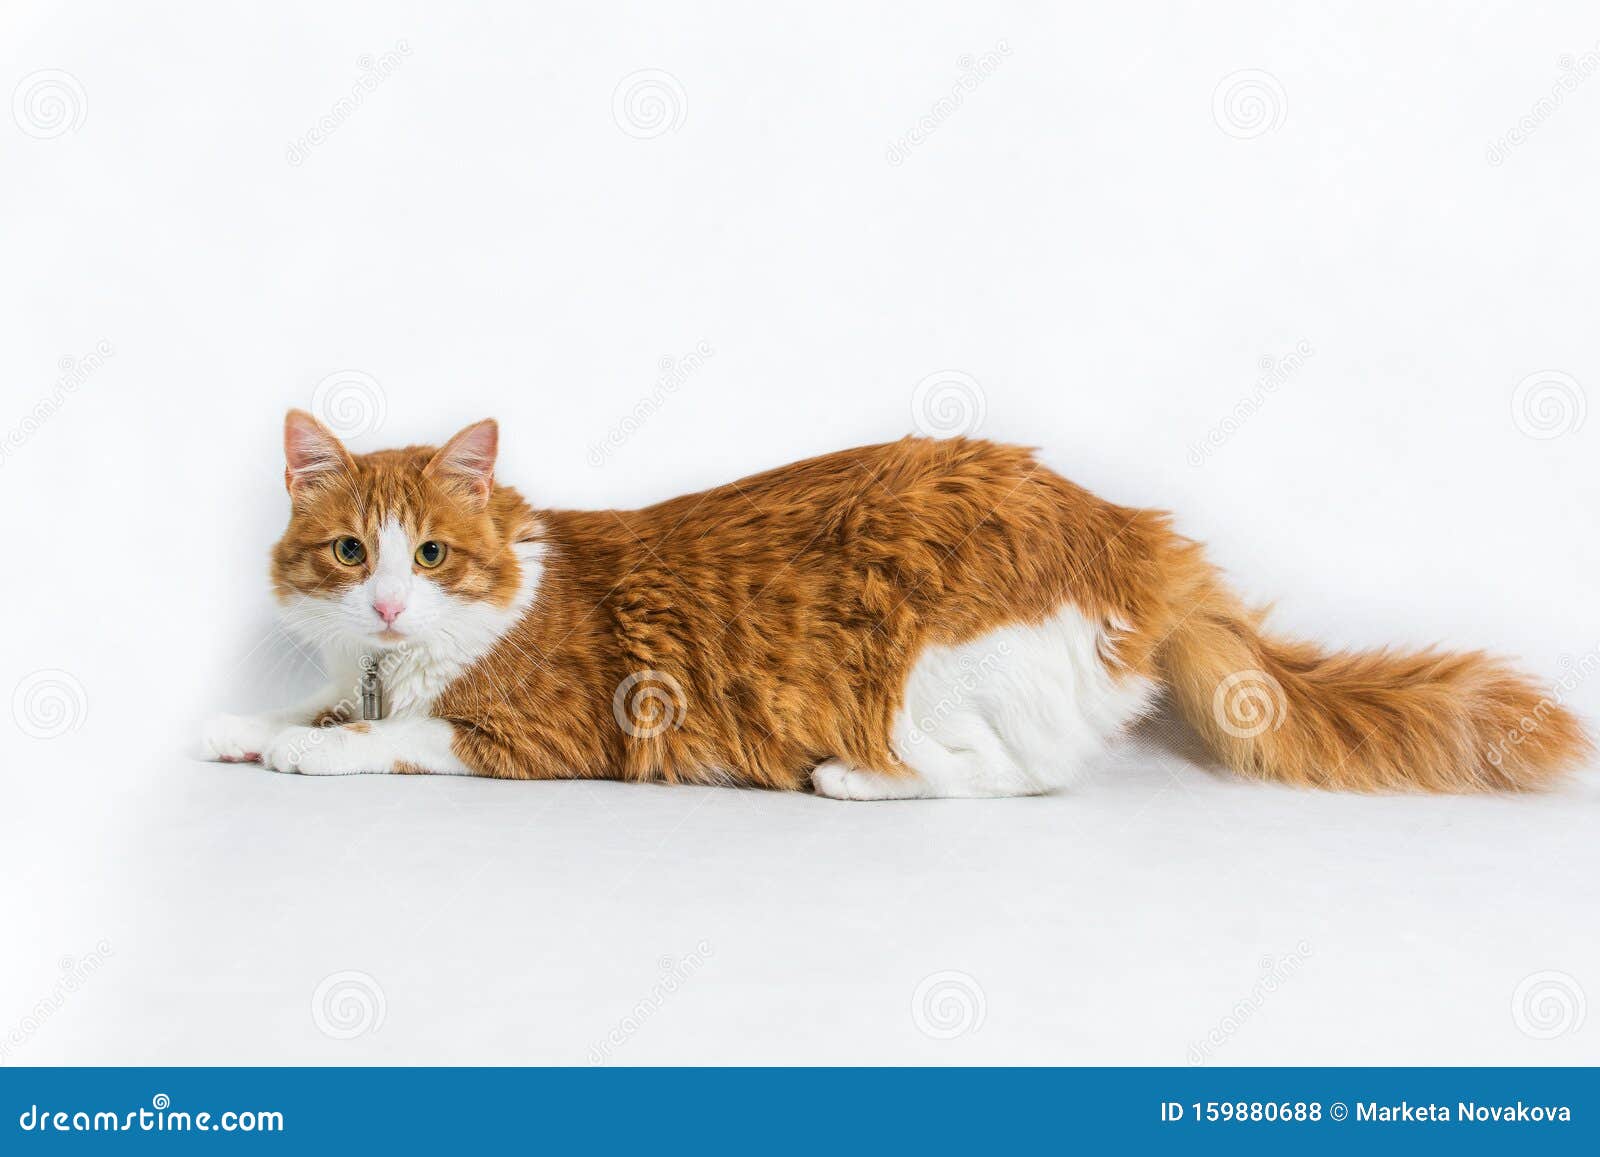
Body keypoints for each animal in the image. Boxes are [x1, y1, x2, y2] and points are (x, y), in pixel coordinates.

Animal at [200, 408, 1587, 796]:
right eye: (349, 554)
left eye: (431, 554)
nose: (387, 606)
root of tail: (1126, 529)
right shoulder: (357, 670)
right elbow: (320, 700)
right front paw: (244, 723)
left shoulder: (552, 731)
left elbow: (384, 738)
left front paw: (301, 746)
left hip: (926, 673)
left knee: (1011, 776)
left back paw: (848, 778)